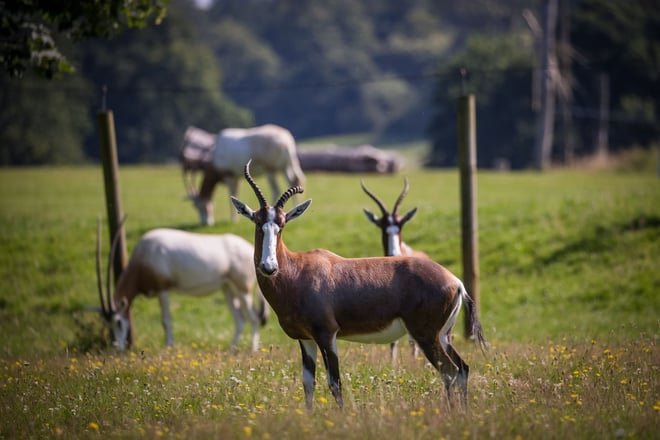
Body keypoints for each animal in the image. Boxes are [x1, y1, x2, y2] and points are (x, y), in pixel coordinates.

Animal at [95, 224, 268, 351]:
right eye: (108, 324)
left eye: (118, 322)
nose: (118, 348)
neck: (144, 255)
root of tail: (250, 249)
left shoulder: (163, 289)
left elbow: (166, 320)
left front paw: (168, 346)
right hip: (228, 289)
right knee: (240, 320)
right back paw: (231, 350)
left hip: (243, 290)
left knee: (254, 318)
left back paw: (253, 350)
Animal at [361, 177, 429, 361]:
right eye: (383, 227)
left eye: (401, 226)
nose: (394, 254)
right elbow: (393, 341)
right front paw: (392, 364)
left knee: (414, 341)